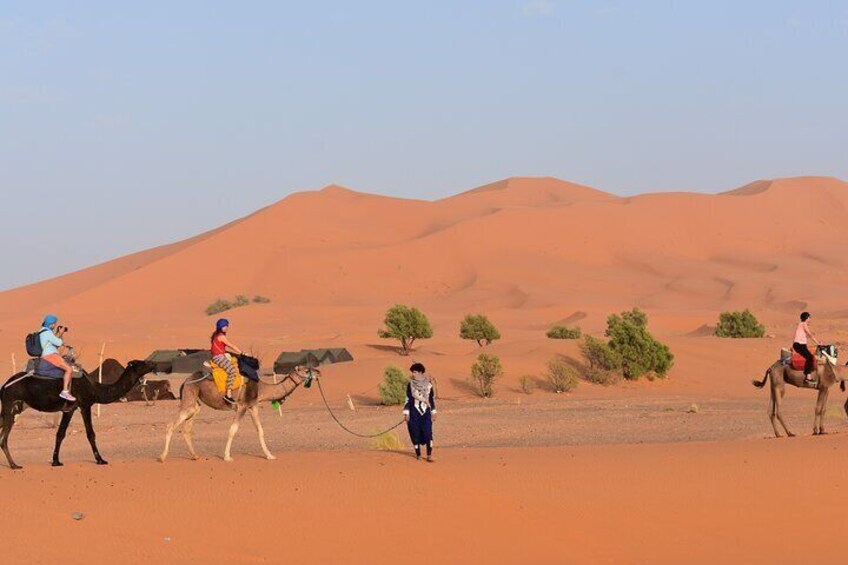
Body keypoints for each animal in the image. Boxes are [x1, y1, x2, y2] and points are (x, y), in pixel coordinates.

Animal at [0, 360, 155, 470]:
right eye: (142, 363)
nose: (153, 363)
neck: (96, 389)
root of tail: (4, 386)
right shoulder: (84, 405)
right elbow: (90, 434)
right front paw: (100, 460)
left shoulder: (70, 409)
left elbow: (60, 434)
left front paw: (56, 461)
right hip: (9, 404)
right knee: (4, 438)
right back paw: (14, 465)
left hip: (16, 408)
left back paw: (14, 464)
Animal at [160, 356, 318, 462]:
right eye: (306, 370)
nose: (318, 373)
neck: (260, 388)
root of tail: (185, 381)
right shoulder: (242, 406)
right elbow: (233, 430)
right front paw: (227, 457)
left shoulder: (252, 406)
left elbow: (260, 430)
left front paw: (270, 455)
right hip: (189, 398)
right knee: (170, 425)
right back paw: (162, 457)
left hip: (196, 405)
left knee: (187, 429)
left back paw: (195, 456)